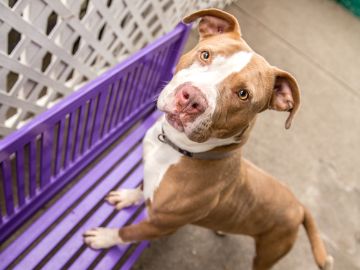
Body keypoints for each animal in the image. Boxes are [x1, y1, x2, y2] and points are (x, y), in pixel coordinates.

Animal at [83, 8, 334, 270]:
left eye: (243, 94)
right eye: (205, 54)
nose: (192, 99)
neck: (176, 149)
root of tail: (299, 206)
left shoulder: (160, 226)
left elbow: (128, 232)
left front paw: (105, 237)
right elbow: (142, 187)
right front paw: (128, 196)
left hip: (268, 252)